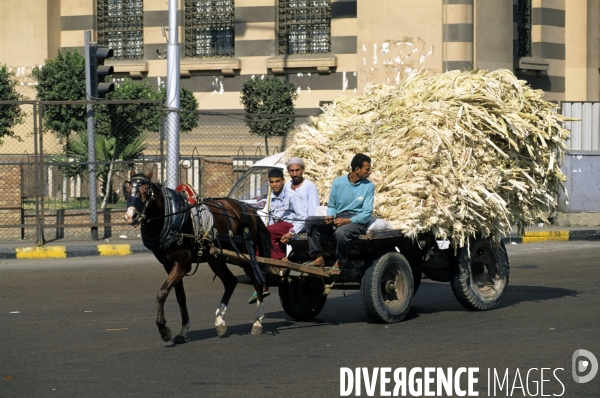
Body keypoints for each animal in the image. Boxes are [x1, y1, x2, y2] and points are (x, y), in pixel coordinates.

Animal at [123, 169, 272, 344]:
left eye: (145, 192)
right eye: (127, 191)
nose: (130, 216)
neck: (170, 215)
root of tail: (248, 208)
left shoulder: (182, 264)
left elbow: (162, 293)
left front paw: (163, 329)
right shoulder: (169, 265)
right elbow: (180, 296)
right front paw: (182, 330)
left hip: (245, 255)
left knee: (257, 281)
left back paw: (258, 321)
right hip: (215, 258)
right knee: (230, 281)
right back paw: (220, 321)